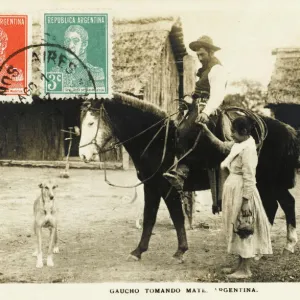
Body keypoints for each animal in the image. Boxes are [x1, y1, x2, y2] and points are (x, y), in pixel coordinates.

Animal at [78, 92, 298, 262]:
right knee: (277, 204)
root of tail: (286, 128)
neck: (158, 141)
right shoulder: (151, 186)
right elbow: (149, 217)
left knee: (283, 204)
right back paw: (271, 247)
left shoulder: (167, 187)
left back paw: (281, 245)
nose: (83, 155)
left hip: (270, 182)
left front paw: (180, 251)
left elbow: (176, 216)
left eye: (91, 122)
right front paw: (138, 251)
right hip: (267, 183)